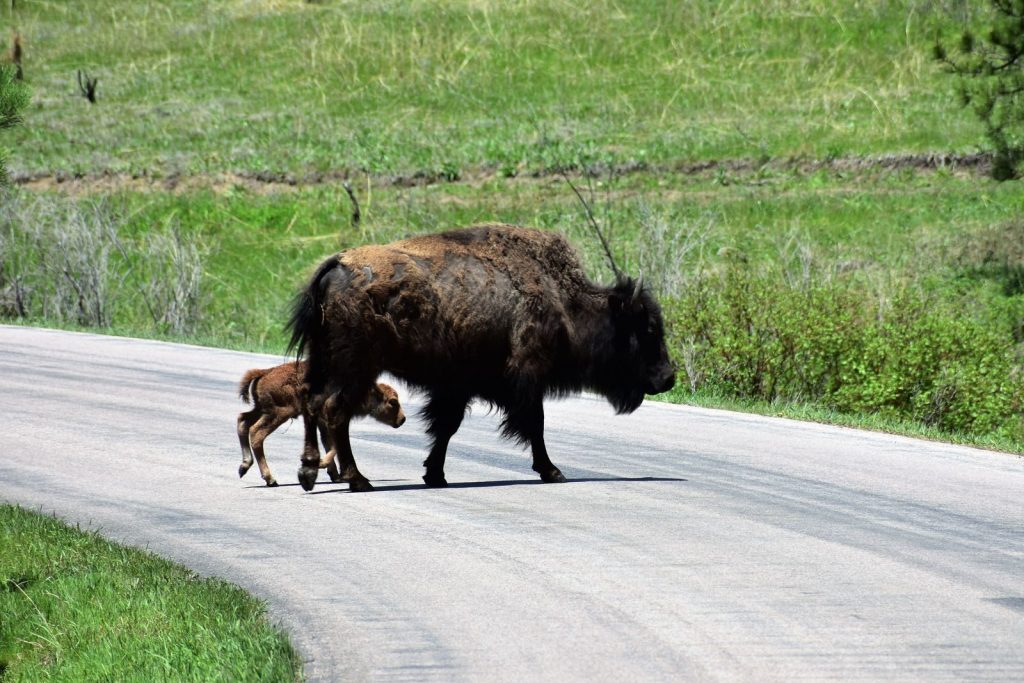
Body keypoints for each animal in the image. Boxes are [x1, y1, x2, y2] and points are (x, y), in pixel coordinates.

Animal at [236, 360, 406, 486]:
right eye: (392, 402)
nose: (402, 419)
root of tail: (266, 372)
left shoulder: (323, 423)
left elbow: (328, 444)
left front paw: (335, 475)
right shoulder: (332, 421)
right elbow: (335, 446)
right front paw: (321, 464)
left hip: (261, 409)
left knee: (242, 421)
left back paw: (244, 467)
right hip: (280, 412)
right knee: (256, 433)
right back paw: (270, 479)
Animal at [287, 223, 675, 492]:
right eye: (647, 330)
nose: (668, 377)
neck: (562, 302)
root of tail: (336, 265)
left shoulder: (456, 386)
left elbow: (446, 427)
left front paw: (435, 475)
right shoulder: (526, 378)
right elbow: (535, 425)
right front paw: (553, 472)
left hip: (325, 363)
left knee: (313, 403)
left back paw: (310, 472)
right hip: (355, 369)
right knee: (335, 411)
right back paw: (357, 479)